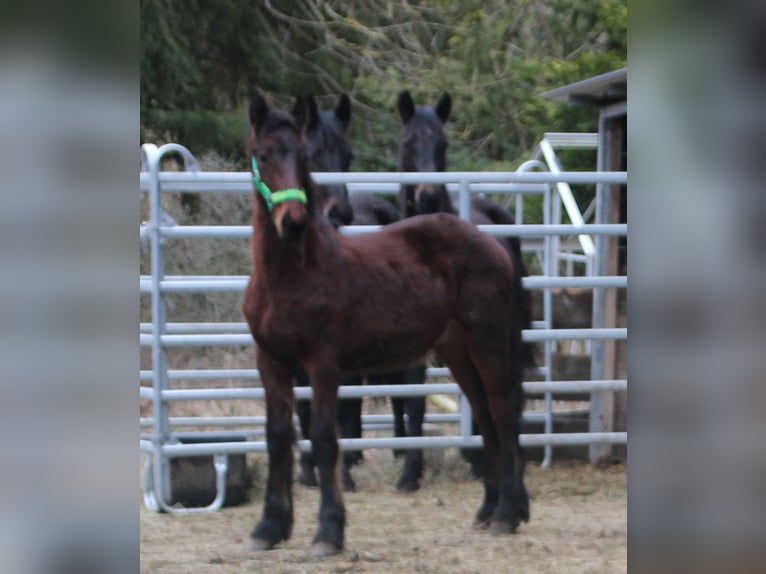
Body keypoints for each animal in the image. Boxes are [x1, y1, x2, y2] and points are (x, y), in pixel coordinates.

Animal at [400, 92, 536, 482]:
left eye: (443, 144)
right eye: (408, 142)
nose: (428, 195)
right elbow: (414, 399)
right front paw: (410, 472)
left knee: (504, 393)